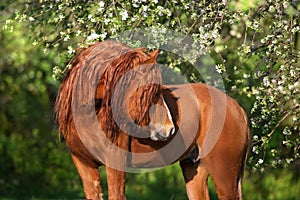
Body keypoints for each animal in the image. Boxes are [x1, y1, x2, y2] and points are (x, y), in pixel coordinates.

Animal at [55, 41, 250, 200]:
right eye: (150, 91)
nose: (169, 129)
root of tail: (237, 108)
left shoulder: (115, 166)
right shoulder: (84, 166)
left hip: (224, 175)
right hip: (194, 169)